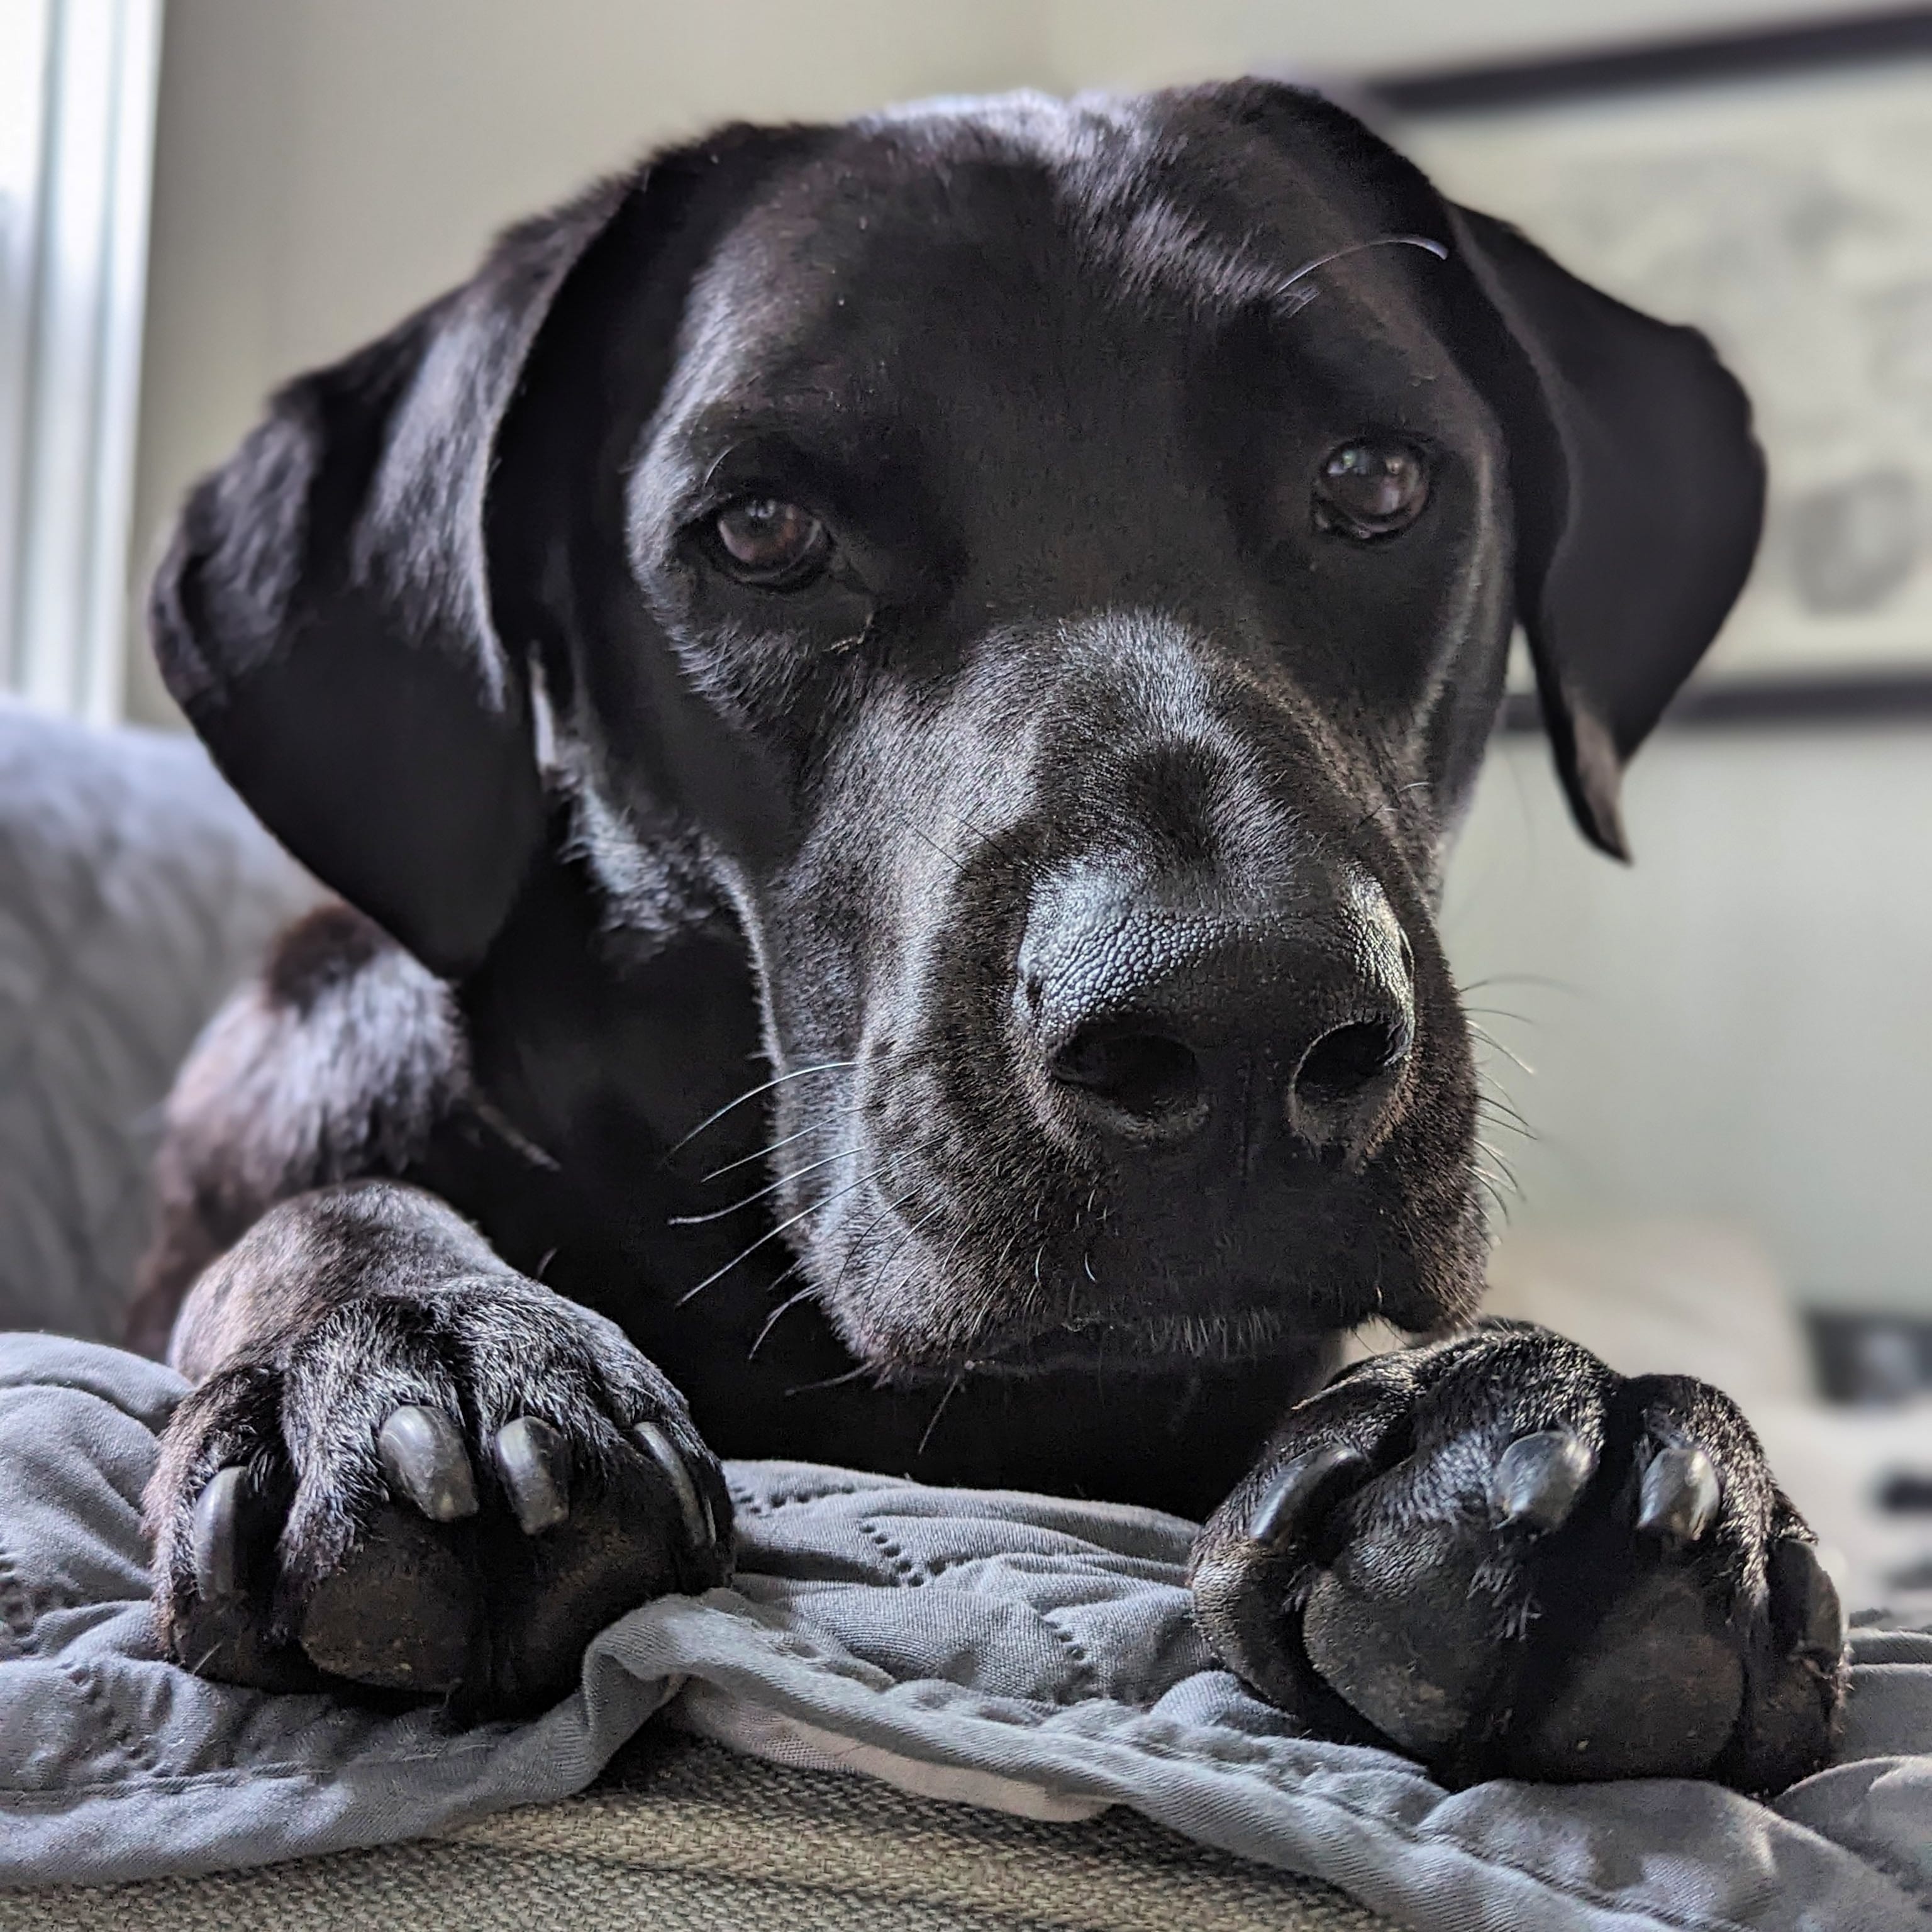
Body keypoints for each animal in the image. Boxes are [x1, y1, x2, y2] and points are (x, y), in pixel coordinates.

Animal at [128, 83, 1846, 1785]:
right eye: (761, 528)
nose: (1240, 1024)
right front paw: (409, 1352)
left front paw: (1547, 1409)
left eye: (1373, 481)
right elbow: (309, 1221)